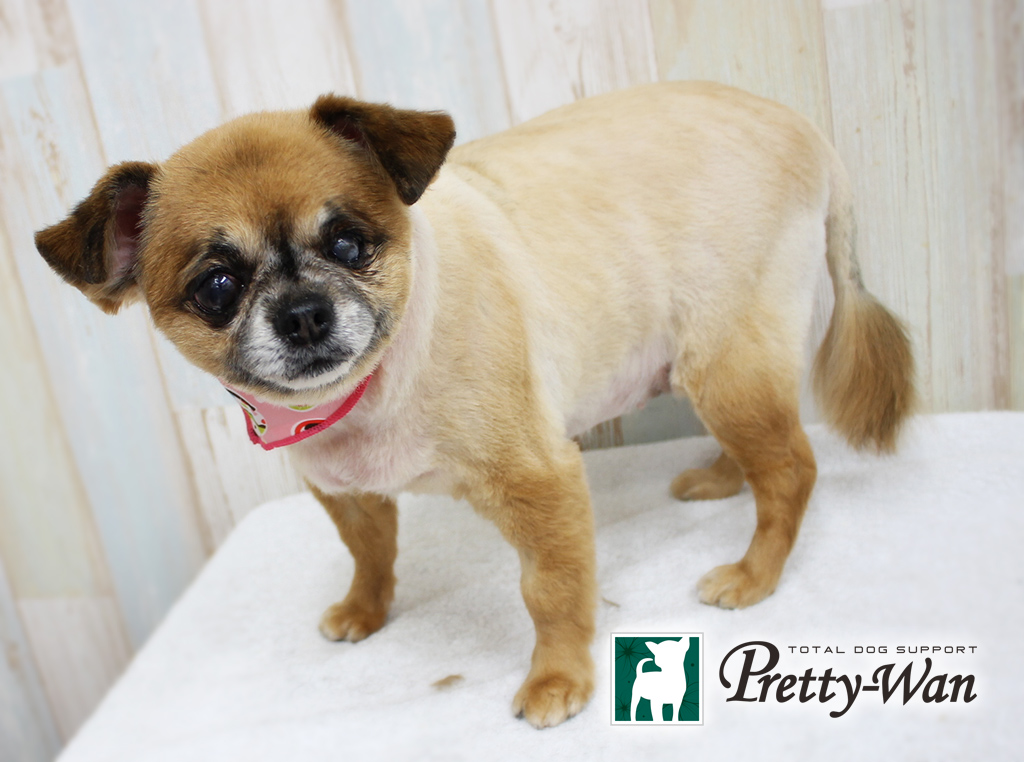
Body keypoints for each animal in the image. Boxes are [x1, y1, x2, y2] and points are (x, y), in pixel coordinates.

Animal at [34, 81, 914, 728]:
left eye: (350, 243)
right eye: (217, 287)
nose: (304, 312)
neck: (370, 392)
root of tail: (800, 129)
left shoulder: (539, 480)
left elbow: (551, 591)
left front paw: (558, 679)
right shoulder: (341, 489)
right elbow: (371, 552)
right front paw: (364, 610)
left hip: (728, 360)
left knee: (791, 467)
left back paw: (754, 574)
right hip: (712, 367)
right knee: (764, 454)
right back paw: (719, 478)